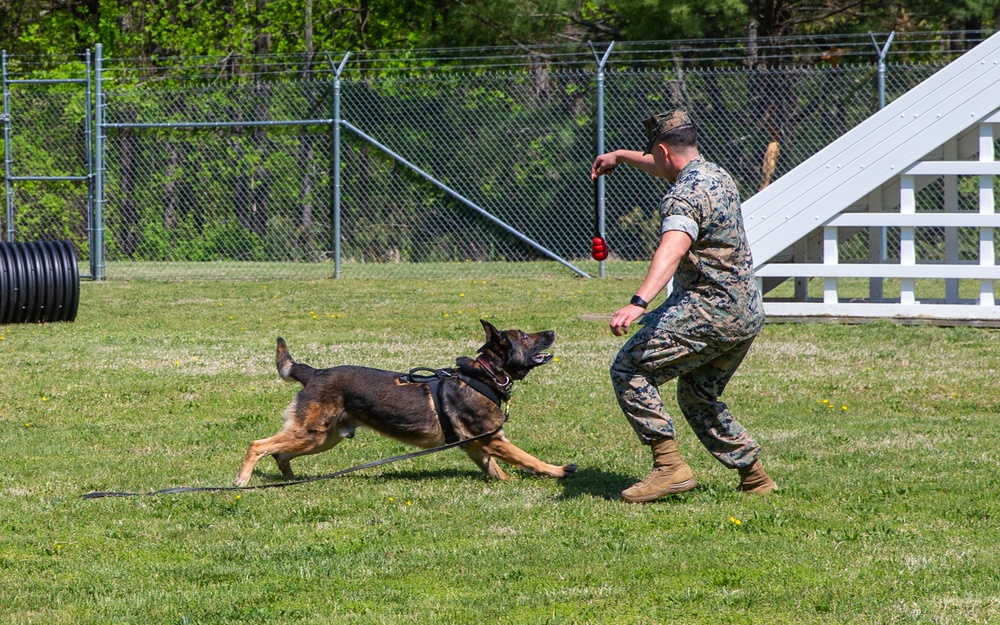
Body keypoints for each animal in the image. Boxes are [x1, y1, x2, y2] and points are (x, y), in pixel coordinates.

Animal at [234, 320, 576, 486]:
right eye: (525, 337)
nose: (551, 331)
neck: (486, 375)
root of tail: (314, 372)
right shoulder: (493, 440)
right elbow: (530, 459)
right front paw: (559, 471)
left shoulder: (476, 445)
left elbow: (495, 469)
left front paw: (504, 483)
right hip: (312, 434)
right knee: (258, 445)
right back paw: (242, 480)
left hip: (323, 439)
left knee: (280, 454)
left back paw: (290, 481)